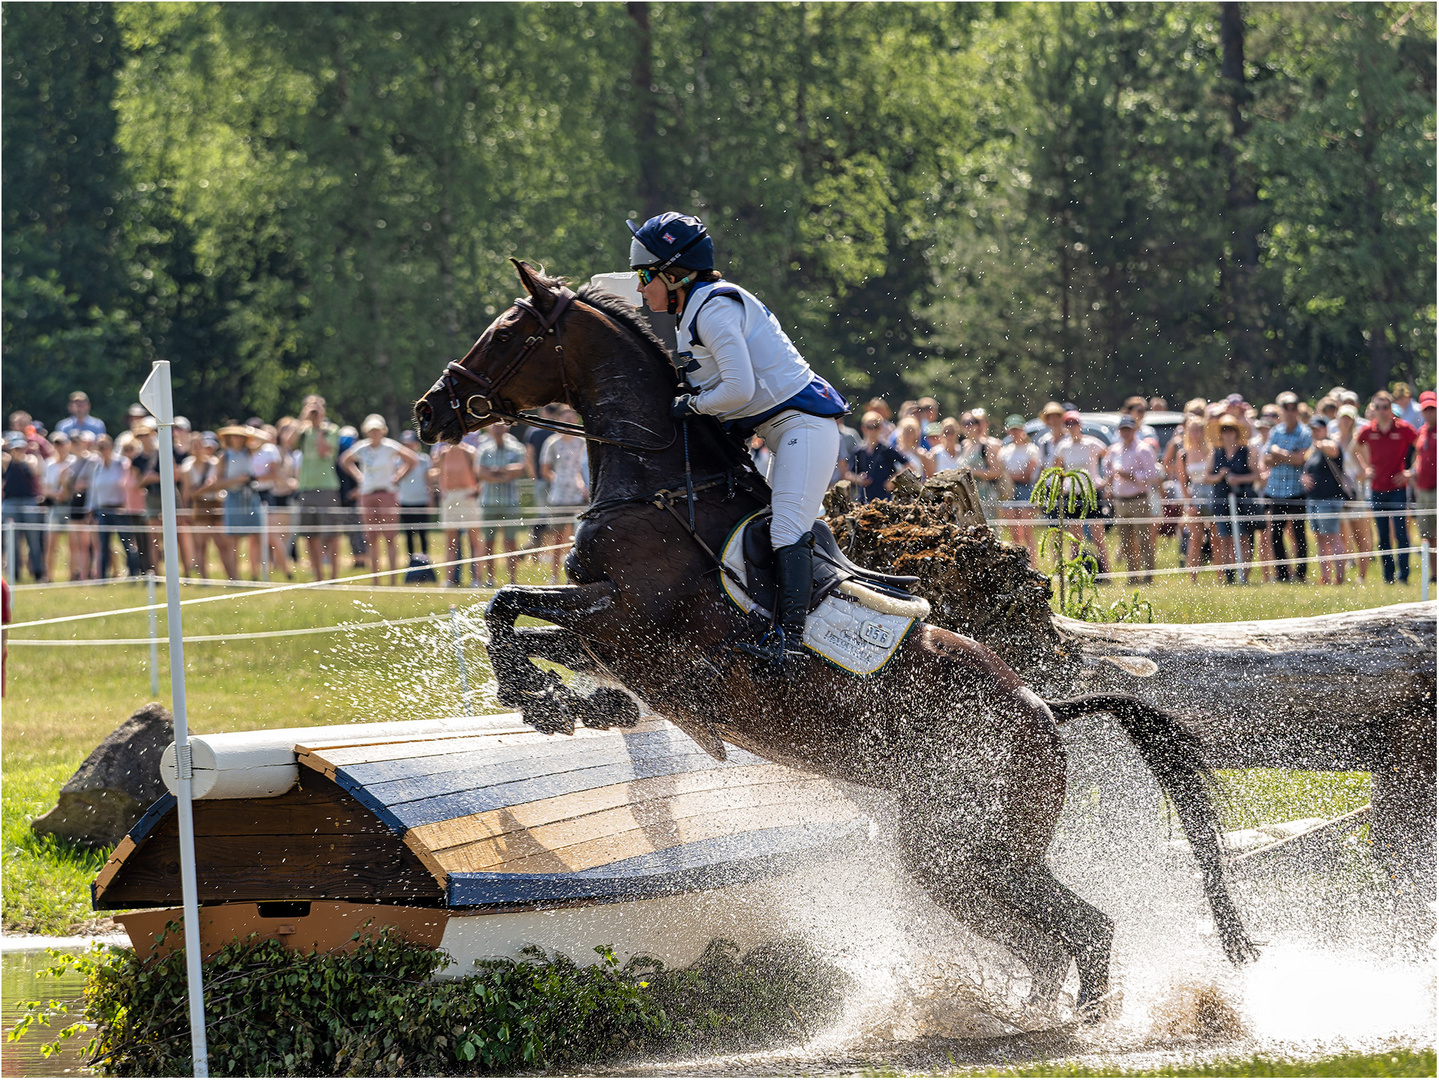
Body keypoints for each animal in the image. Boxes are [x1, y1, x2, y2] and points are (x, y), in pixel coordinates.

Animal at [411, 261, 1254, 1023]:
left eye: (506, 333)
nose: (428, 411)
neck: (655, 485)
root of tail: (1046, 712)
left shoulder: (625, 618)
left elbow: (503, 604)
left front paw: (536, 699)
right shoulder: (613, 641)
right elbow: (516, 619)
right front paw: (574, 706)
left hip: (971, 847)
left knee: (1084, 929)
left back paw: (1080, 1023)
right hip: (952, 857)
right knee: (1045, 945)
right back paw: (1009, 1016)